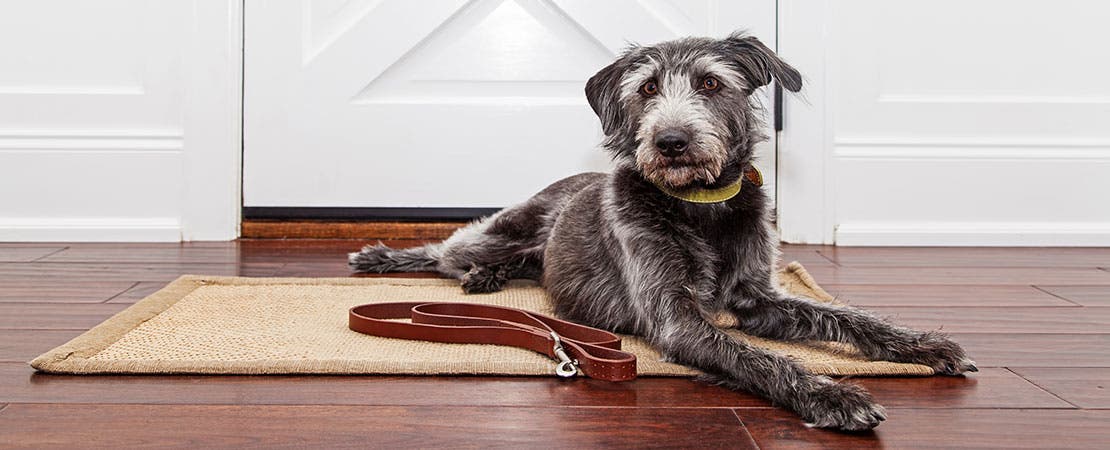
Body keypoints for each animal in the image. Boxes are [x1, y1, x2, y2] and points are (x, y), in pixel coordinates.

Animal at [350, 31, 976, 431]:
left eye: (711, 84)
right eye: (648, 89)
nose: (671, 141)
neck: (700, 205)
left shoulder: (759, 298)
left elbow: (847, 317)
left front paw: (923, 345)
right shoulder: (677, 317)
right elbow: (761, 359)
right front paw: (834, 394)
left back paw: (488, 278)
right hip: (501, 228)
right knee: (447, 248)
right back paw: (389, 259)